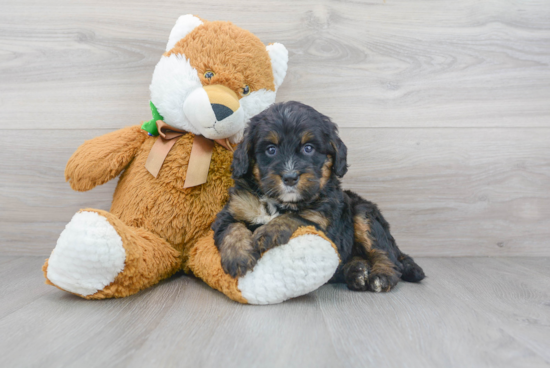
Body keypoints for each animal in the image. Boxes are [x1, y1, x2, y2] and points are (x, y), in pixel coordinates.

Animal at [212, 102, 426, 292]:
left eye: (308, 148)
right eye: (271, 150)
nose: (290, 178)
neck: (281, 203)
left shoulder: (324, 224)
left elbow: (296, 217)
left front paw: (269, 231)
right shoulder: (233, 209)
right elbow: (232, 227)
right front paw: (238, 255)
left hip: (363, 212)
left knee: (385, 253)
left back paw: (381, 275)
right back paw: (357, 272)